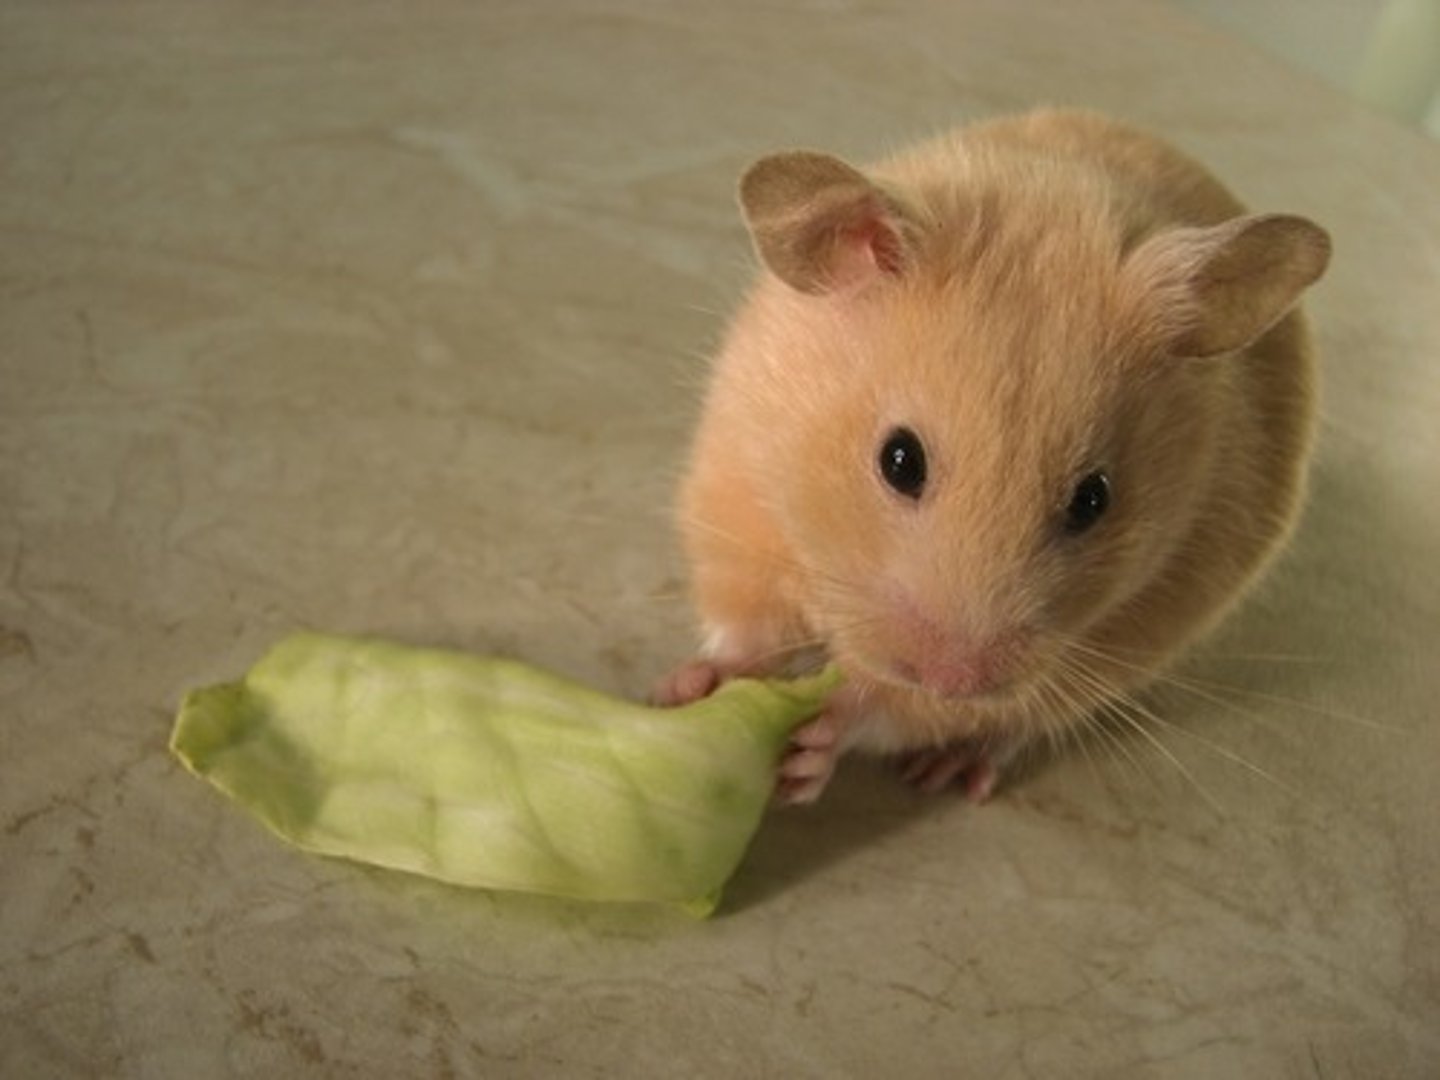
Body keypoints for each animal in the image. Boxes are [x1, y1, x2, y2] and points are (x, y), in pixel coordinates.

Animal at [657, 109, 1331, 805]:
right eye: (899, 460)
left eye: (1094, 499)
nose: (954, 678)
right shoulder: (740, 499)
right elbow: (744, 626)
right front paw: (687, 688)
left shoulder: (1102, 636)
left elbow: (895, 709)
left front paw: (815, 752)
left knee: (1015, 726)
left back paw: (953, 771)